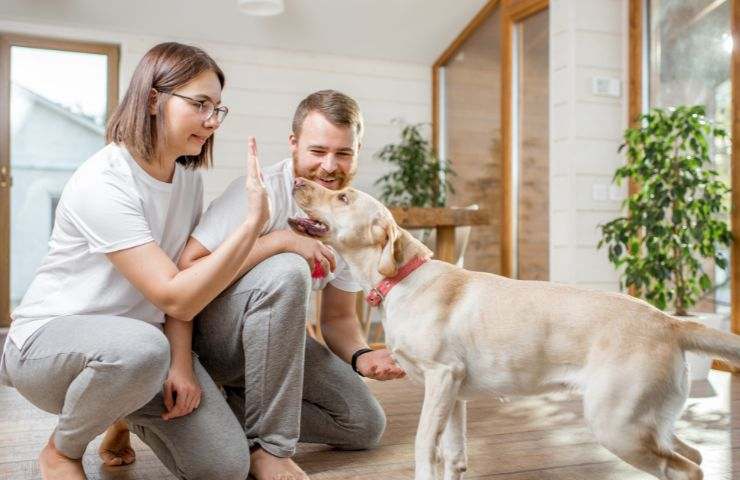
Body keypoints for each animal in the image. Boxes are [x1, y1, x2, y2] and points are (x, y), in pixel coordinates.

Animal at [286, 176, 736, 480]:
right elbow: (453, 456)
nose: (298, 180)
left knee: (685, 468)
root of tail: (668, 321)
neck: (402, 278)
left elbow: (423, 447)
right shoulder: (455, 395)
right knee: (695, 456)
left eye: (343, 196)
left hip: (618, 424)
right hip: (648, 422)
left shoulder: (440, 377)